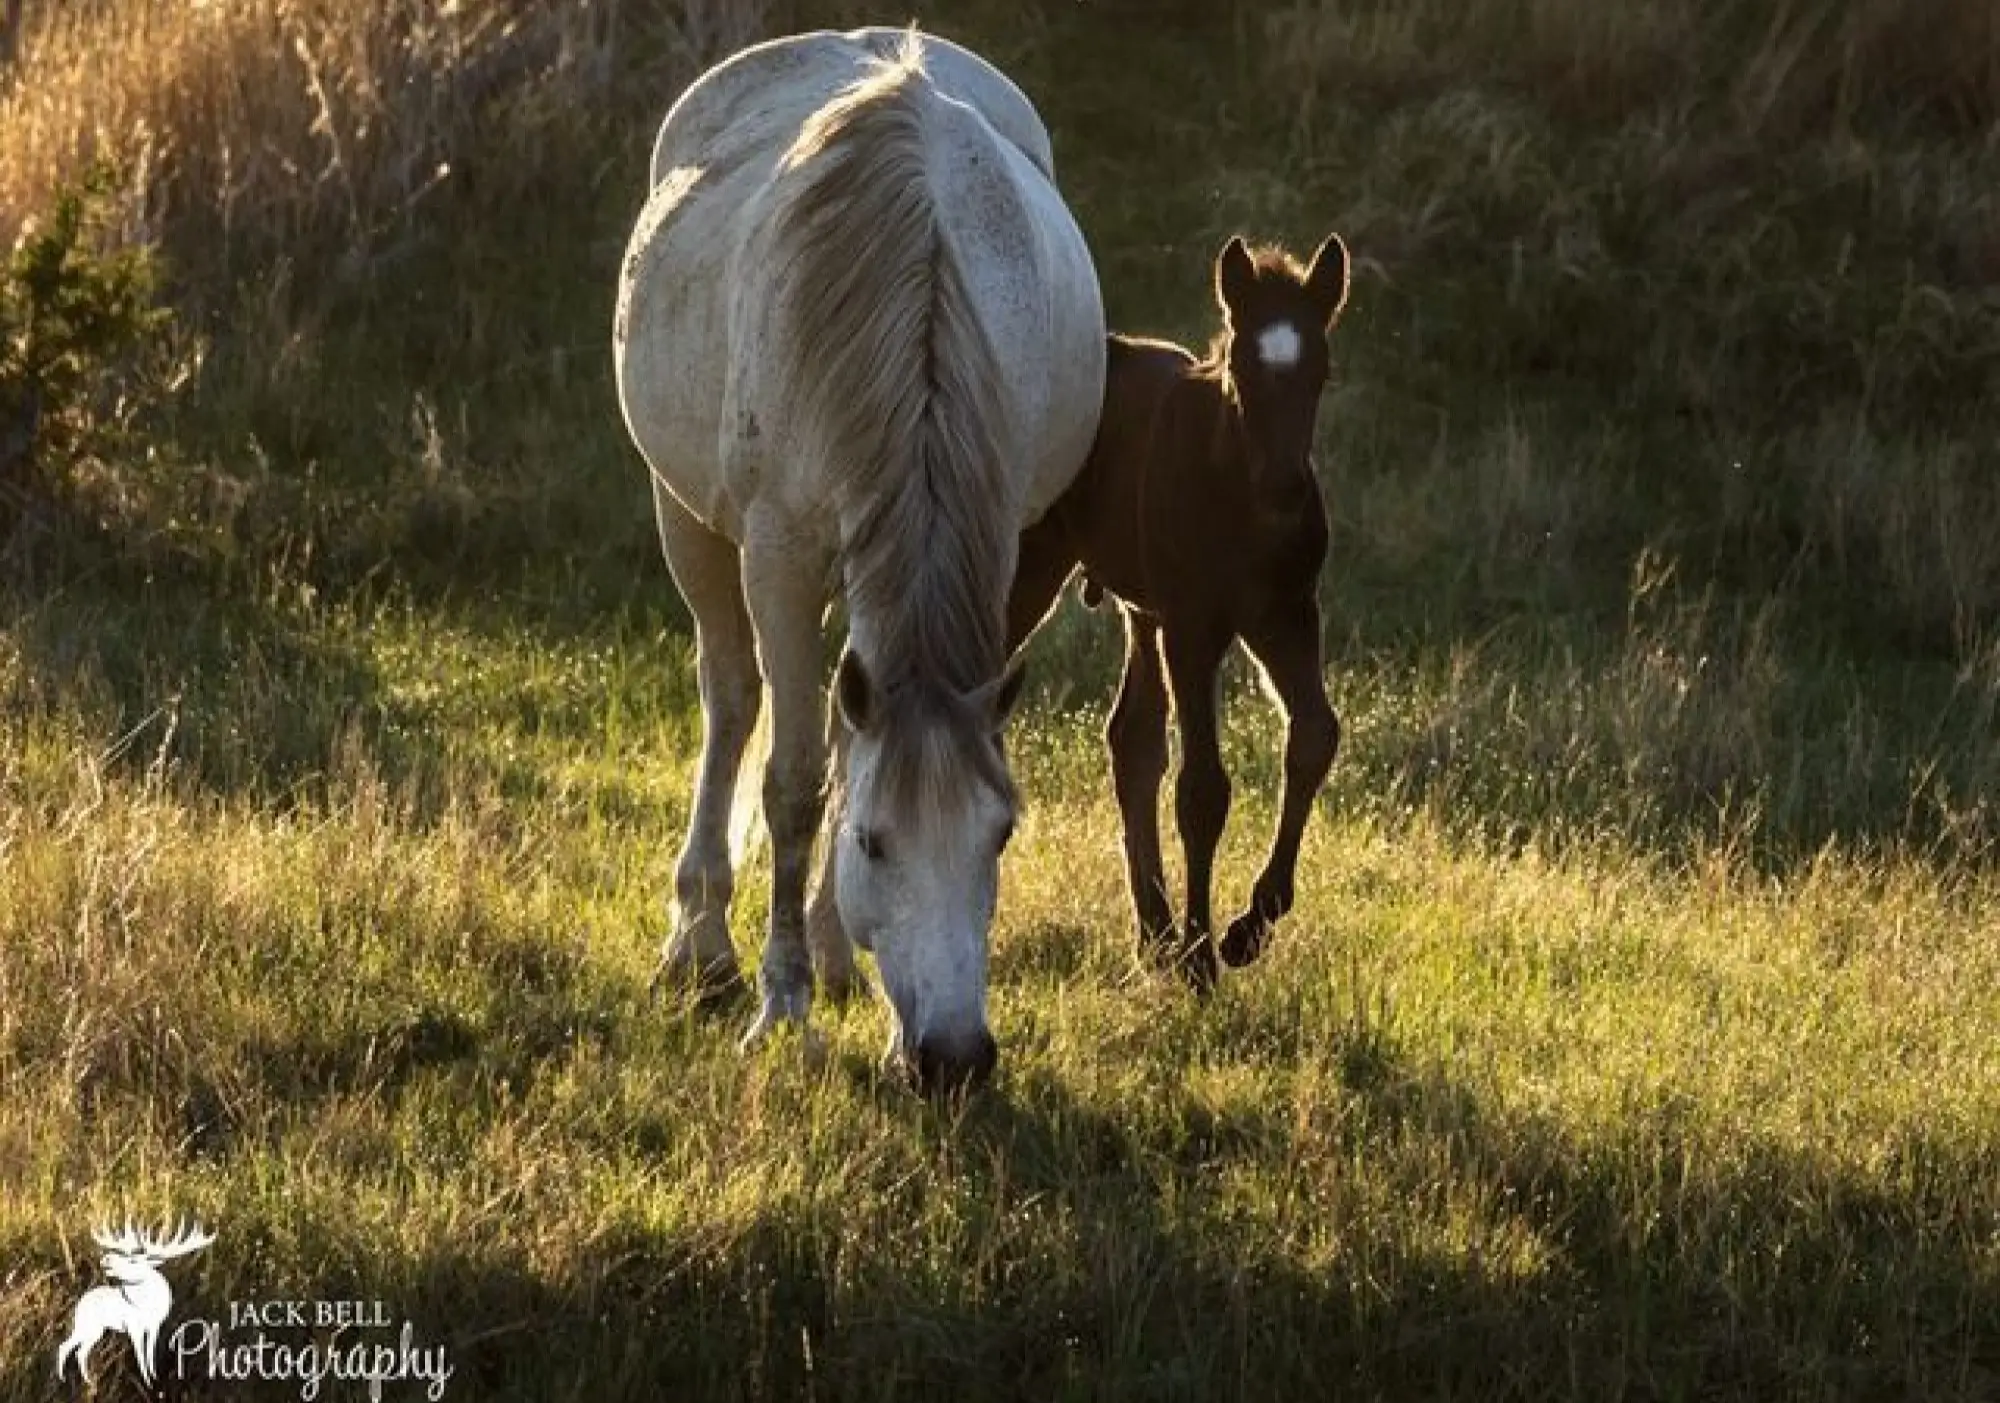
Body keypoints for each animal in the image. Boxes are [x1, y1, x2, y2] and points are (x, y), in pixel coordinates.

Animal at [612, 27, 1112, 1095]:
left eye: (1001, 834)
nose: (954, 1059)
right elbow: (795, 783)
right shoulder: (780, 558)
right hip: (688, 521)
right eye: (875, 845)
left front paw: (840, 978)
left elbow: (848, 759)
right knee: (731, 699)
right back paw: (701, 943)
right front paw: (781, 1007)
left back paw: (831, 955)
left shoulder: (1002, 552)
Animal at [1008, 233, 1352, 991]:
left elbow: (1315, 734)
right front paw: (1202, 955)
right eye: (1241, 371)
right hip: (1030, 571)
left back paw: (1154, 933)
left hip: (1143, 613)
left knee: (1130, 741)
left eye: (1321, 371)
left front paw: (1250, 925)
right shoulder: (1195, 627)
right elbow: (1202, 789)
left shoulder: (1285, 615)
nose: (1284, 486)